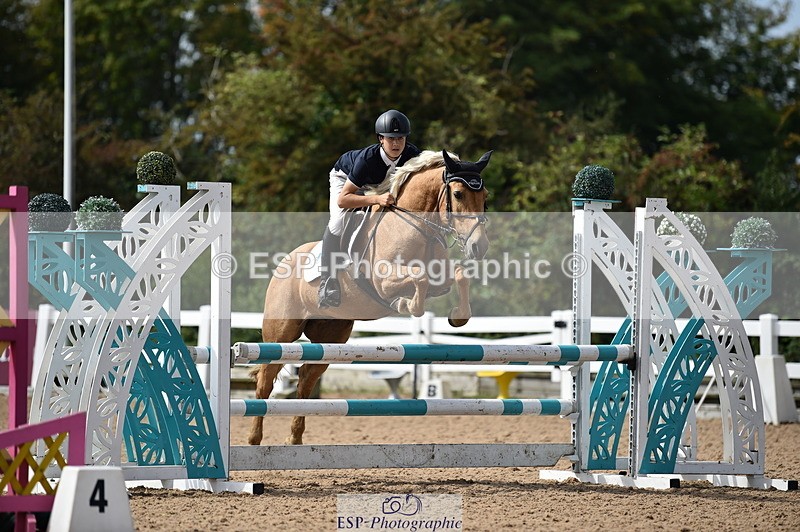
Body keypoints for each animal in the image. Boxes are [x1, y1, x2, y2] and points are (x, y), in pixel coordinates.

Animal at [248, 149, 492, 445]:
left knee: (306, 379)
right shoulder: (384, 281)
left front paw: (458, 318)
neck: (416, 226)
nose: (479, 247)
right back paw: (254, 438)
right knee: (265, 380)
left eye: (485, 195)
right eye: (458, 194)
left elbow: (457, 275)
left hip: (332, 336)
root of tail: (284, 262)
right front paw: (404, 303)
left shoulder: (440, 279)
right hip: (281, 332)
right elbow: (418, 280)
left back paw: (294, 439)